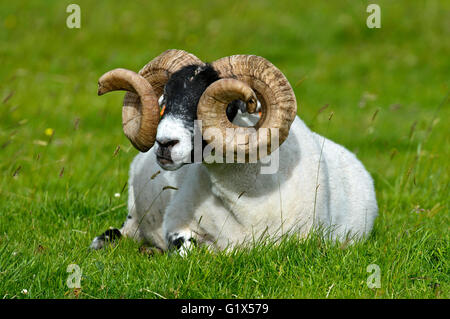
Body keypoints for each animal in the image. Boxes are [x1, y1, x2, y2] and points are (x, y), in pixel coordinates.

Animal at [92, 49, 380, 255]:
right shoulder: (175, 225)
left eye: (229, 106)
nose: (164, 143)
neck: (246, 198)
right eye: (164, 101)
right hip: (133, 215)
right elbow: (189, 249)